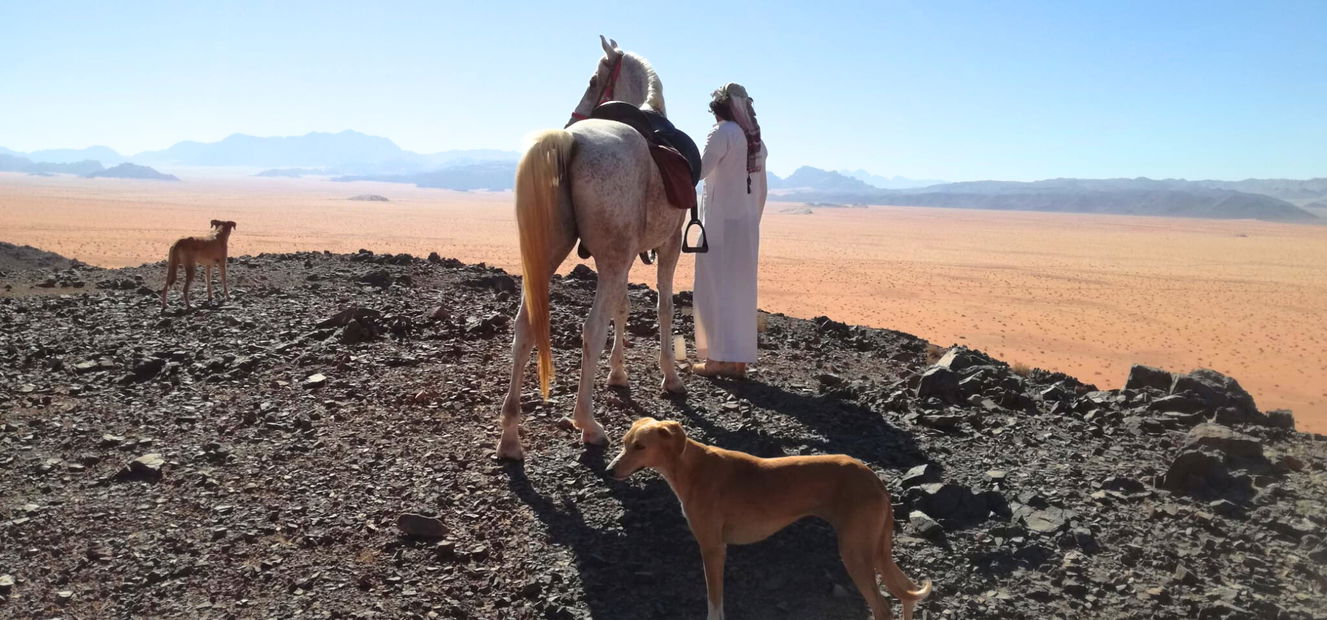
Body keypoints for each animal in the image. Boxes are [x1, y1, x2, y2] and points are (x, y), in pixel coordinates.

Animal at [497, 36, 688, 460]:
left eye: (592, 79)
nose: (573, 116)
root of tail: (570, 140)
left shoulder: (626, 257)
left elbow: (624, 306)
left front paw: (618, 374)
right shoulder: (666, 245)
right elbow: (663, 307)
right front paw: (669, 375)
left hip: (547, 257)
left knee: (523, 328)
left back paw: (510, 436)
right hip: (613, 259)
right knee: (591, 328)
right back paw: (587, 424)